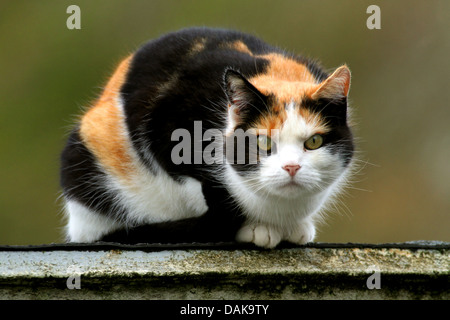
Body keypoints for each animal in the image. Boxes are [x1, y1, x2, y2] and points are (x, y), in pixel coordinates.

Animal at [59, 26, 356, 248]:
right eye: (263, 142)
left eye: (313, 142)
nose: (291, 167)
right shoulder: (166, 133)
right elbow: (214, 196)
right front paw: (257, 228)